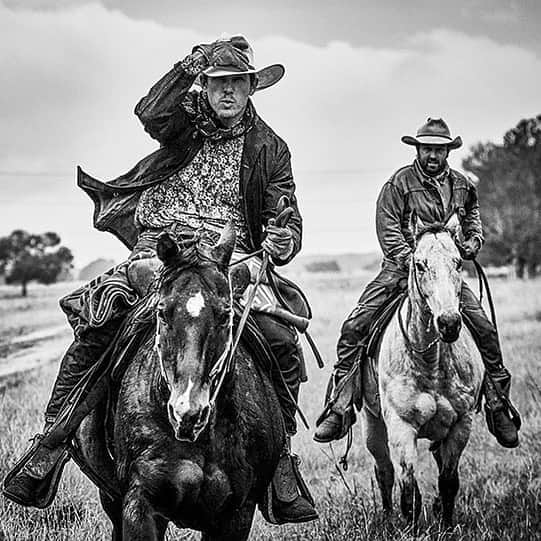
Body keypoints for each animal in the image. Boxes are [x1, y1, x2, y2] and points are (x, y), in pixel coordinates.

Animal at [364, 217, 484, 524]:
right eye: (419, 264)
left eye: (458, 262)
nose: (449, 323)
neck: (430, 363)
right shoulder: (400, 426)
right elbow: (408, 489)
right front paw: (411, 526)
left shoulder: (461, 425)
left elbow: (449, 482)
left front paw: (448, 525)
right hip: (372, 425)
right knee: (384, 472)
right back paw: (388, 519)